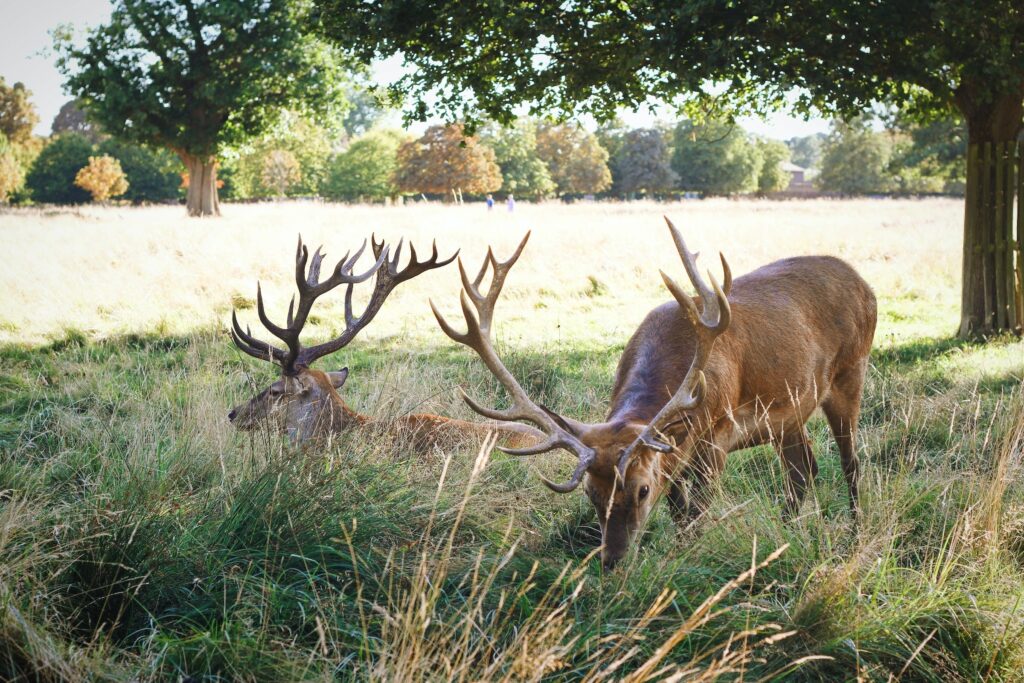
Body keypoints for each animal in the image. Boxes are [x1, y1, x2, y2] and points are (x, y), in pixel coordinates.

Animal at [432, 218, 877, 570]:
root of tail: (863, 282)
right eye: (592, 493)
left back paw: (855, 535)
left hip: (851, 373)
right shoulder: (675, 453)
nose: (612, 561)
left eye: (642, 489)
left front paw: (684, 557)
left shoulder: (717, 433)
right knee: (803, 468)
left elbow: (696, 513)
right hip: (790, 413)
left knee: (850, 463)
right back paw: (787, 534)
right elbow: (680, 511)